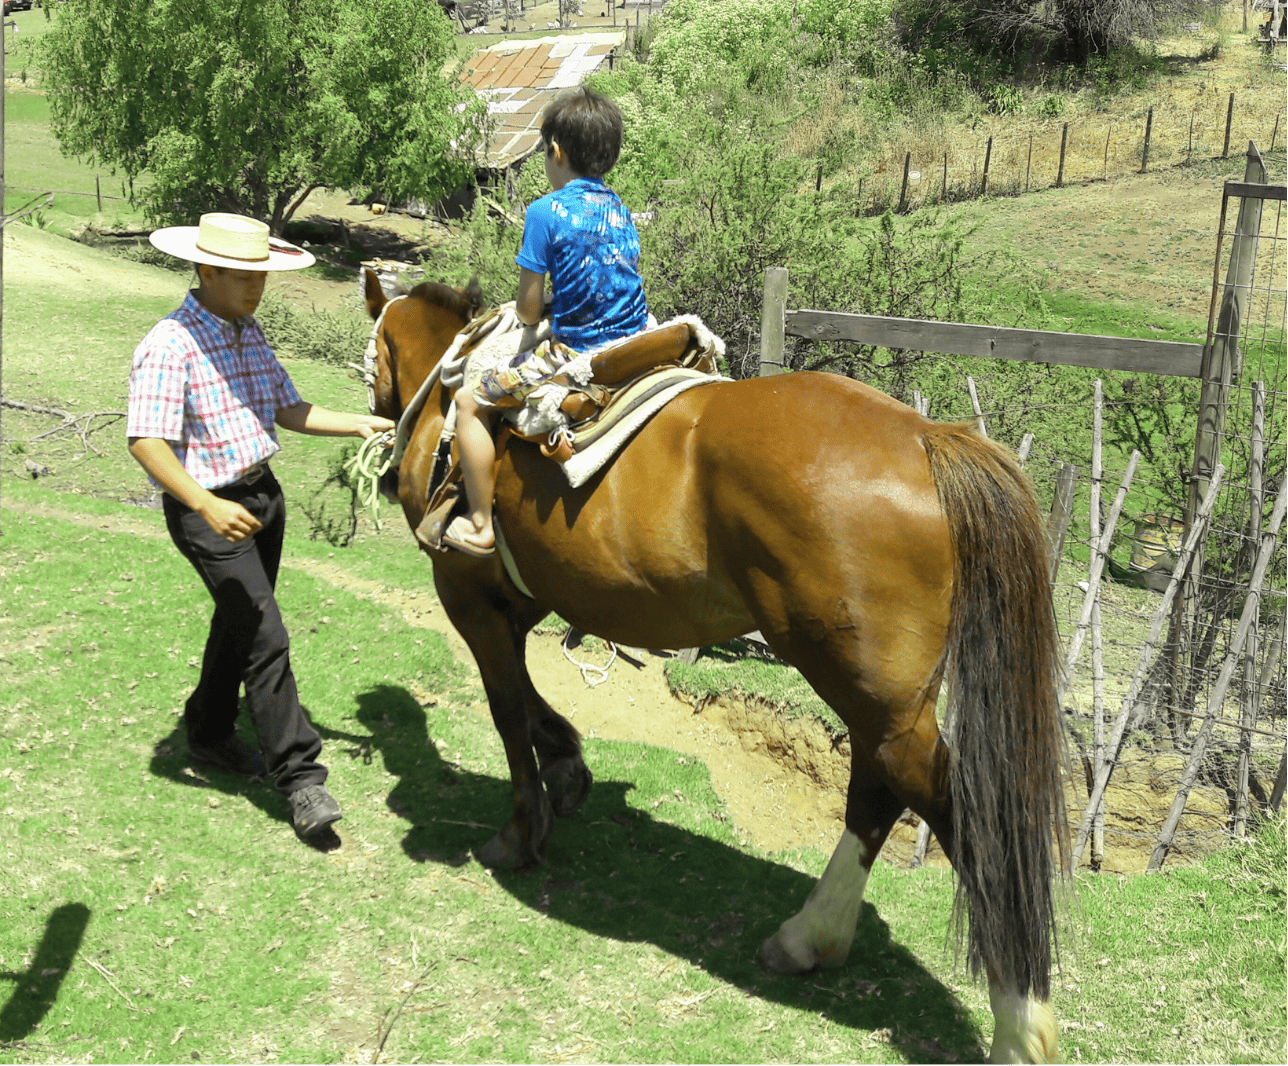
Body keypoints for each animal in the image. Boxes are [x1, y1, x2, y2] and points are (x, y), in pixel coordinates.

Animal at [361, 270, 1071, 1065]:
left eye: (375, 352)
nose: (377, 411)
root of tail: (928, 437)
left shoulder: (468, 595)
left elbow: (508, 706)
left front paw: (521, 832)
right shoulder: (524, 599)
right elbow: (533, 702)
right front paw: (568, 769)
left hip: (863, 685)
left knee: (946, 802)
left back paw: (1019, 1022)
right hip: (885, 696)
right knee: (878, 790)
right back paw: (810, 938)